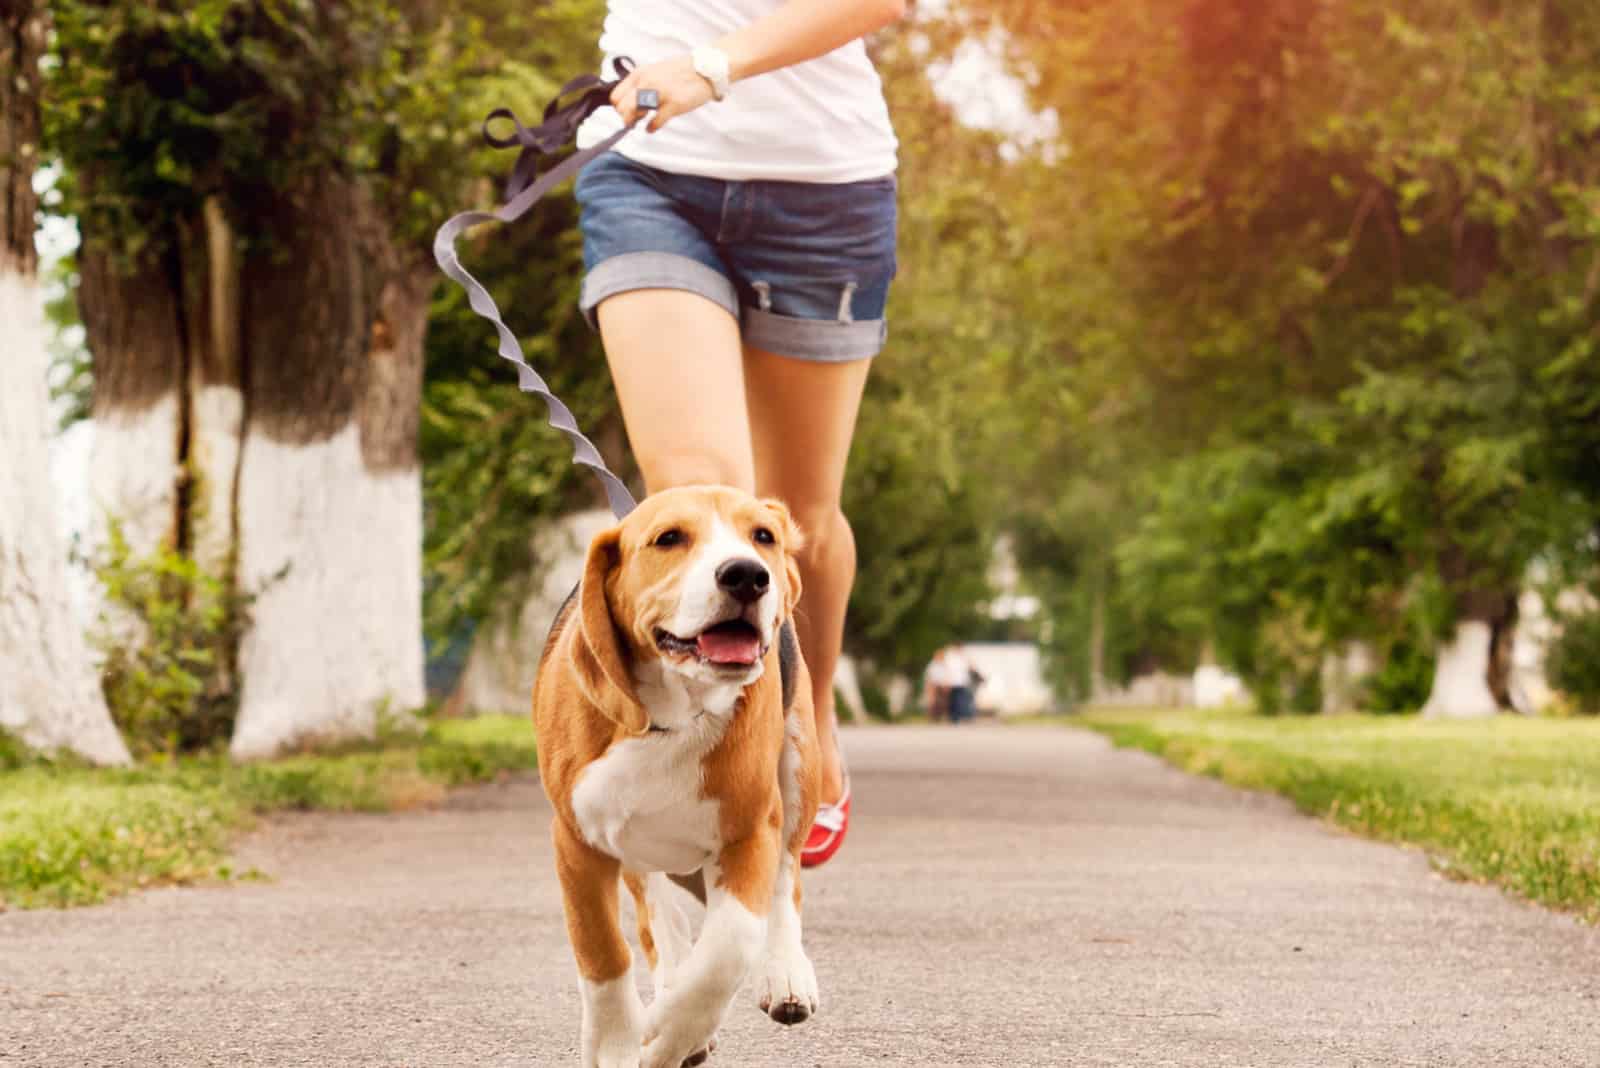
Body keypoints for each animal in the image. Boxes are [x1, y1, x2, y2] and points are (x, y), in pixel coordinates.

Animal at [531, 486, 819, 1068]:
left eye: (763, 536)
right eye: (668, 539)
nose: (747, 575)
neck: (673, 715)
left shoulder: (750, 831)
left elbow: (729, 949)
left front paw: (666, 1032)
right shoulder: (575, 841)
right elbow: (603, 952)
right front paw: (618, 1044)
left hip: (800, 767)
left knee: (785, 883)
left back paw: (785, 975)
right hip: (632, 844)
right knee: (656, 916)